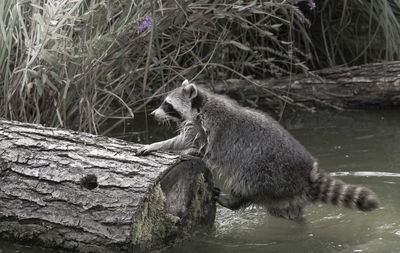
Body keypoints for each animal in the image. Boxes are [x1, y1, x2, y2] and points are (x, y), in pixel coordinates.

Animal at [137, 79, 378, 219]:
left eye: (167, 105)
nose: (153, 114)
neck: (202, 104)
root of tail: (307, 173)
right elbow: (196, 147)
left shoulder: (206, 127)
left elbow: (186, 141)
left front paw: (158, 144)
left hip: (265, 173)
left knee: (246, 183)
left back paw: (233, 201)